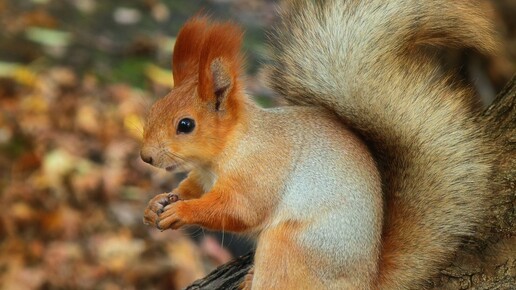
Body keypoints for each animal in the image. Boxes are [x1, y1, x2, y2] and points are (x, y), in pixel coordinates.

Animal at [139, 1, 498, 288]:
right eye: (154, 109)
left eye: (186, 125)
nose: (145, 157)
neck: (226, 152)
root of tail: (364, 282)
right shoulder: (202, 176)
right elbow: (191, 188)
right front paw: (157, 203)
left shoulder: (261, 170)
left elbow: (239, 209)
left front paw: (182, 211)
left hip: (290, 247)